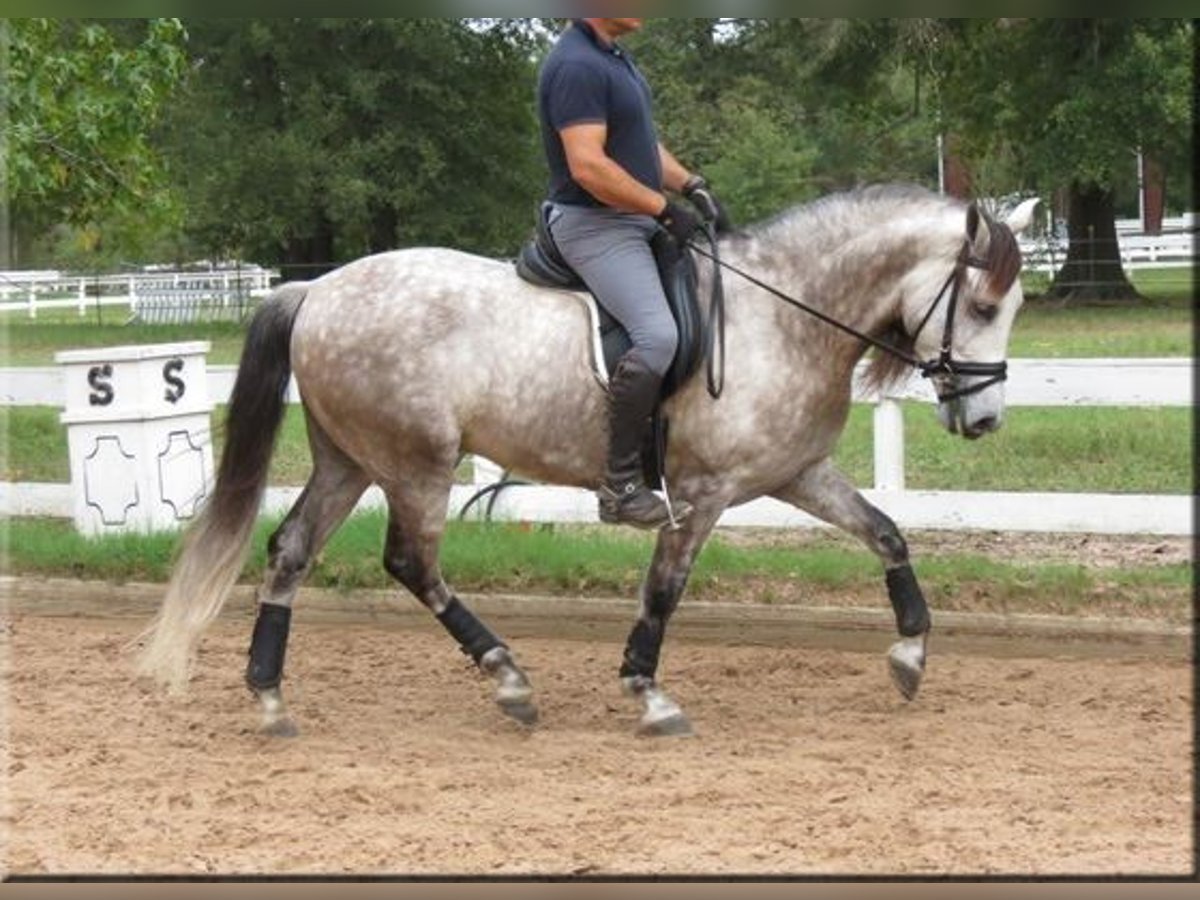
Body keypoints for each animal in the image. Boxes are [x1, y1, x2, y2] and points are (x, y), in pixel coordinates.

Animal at [138, 187, 1041, 734]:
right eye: (982, 305)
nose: (986, 418)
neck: (783, 315)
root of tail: (314, 291)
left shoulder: (795, 474)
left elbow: (887, 532)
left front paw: (911, 656)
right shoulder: (704, 492)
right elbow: (663, 590)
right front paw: (648, 691)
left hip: (347, 461)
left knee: (291, 550)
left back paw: (269, 695)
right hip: (415, 463)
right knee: (411, 562)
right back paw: (506, 677)